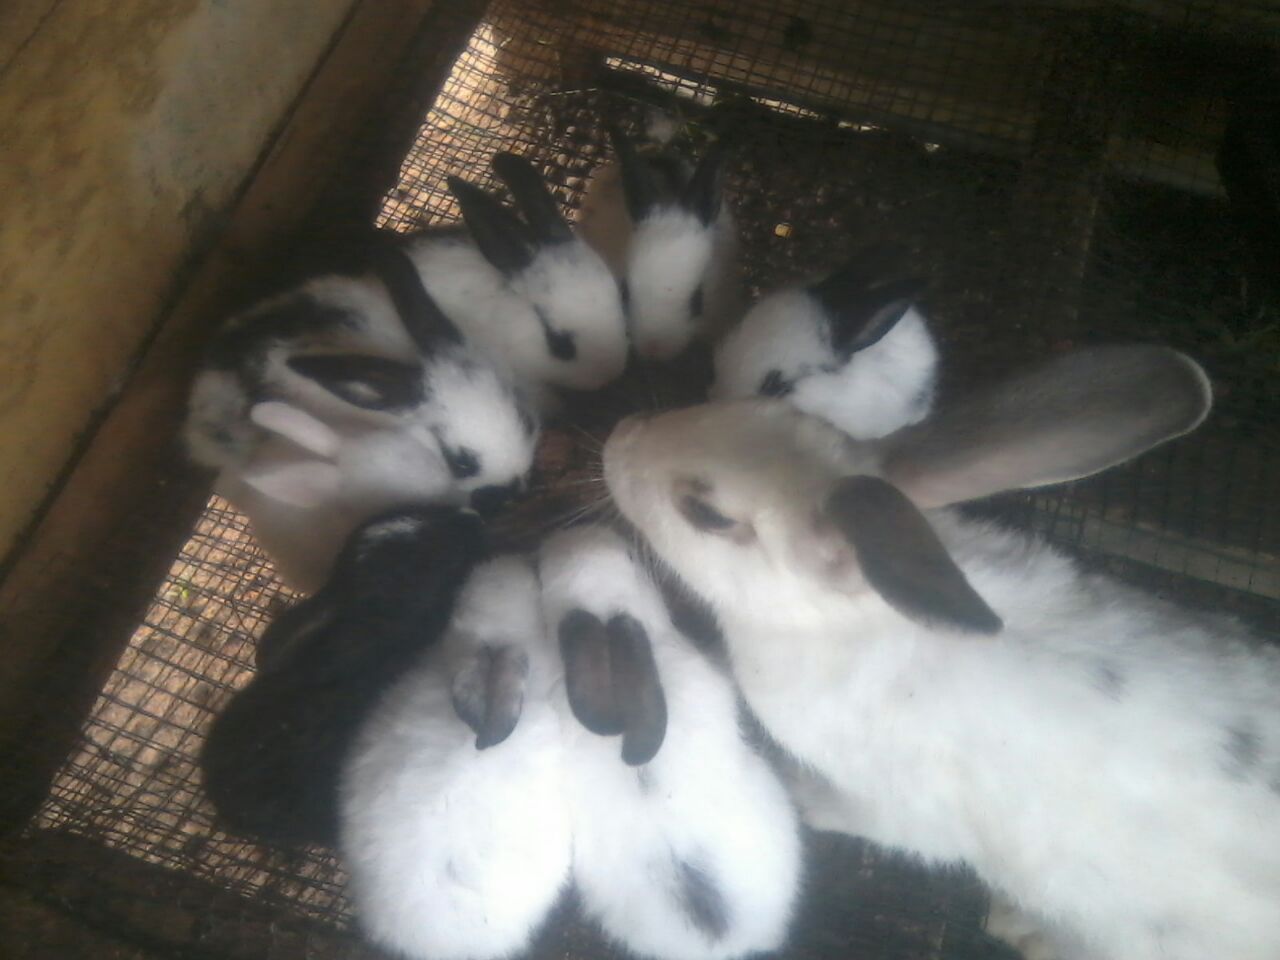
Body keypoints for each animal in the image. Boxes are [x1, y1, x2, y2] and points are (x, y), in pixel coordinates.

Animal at [601, 343, 1280, 960]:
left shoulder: (908, 813)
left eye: (707, 513)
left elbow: (858, 816)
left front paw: (800, 793)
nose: (619, 436)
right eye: (769, 406)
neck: (847, 620)